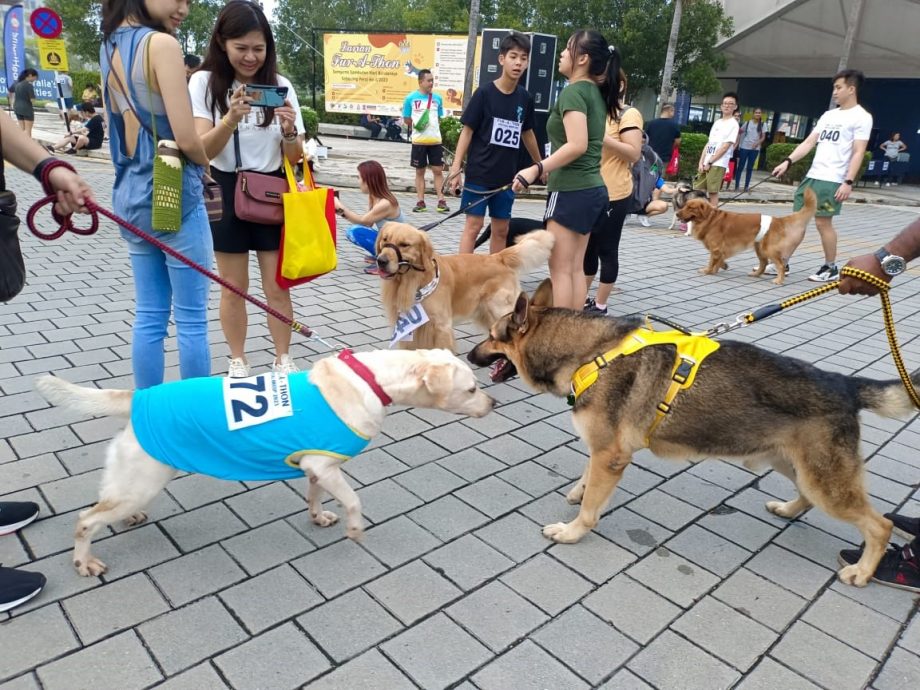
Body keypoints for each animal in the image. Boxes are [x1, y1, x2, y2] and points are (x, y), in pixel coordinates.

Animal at [36, 350, 496, 576]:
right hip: (142, 481)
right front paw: (354, 530)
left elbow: (314, 495)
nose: (493, 403)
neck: (369, 379)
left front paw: (319, 517)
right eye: (472, 388)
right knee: (85, 520)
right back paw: (84, 562)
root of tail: (138, 397)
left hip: (134, 481)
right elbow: (354, 501)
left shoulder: (316, 465)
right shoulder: (327, 467)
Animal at [376, 222, 552, 350]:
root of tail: (498, 257)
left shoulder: (441, 326)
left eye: (404, 244)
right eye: (385, 240)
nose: (381, 261)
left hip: (501, 308)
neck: (416, 281)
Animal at [470, 280, 916, 584]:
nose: (470, 356)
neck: (589, 353)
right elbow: (587, 477)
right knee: (807, 498)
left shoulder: (611, 456)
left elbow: (591, 509)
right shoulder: (604, 450)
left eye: (491, 337)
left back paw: (862, 572)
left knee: (880, 526)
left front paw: (572, 531)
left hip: (825, 481)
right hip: (796, 466)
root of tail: (845, 383)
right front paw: (579, 491)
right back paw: (788, 510)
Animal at [672, 185, 816, 282]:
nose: (677, 214)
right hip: (760, 248)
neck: (710, 218)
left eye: (691, 207)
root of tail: (777, 219)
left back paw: (778, 280)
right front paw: (721, 267)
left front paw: (707, 270)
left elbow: (712, 260)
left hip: (768, 249)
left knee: (780, 265)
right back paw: (756, 274)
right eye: (685, 205)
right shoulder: (720, 248)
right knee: (764, 263)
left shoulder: (716, 247)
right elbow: (718, 259)